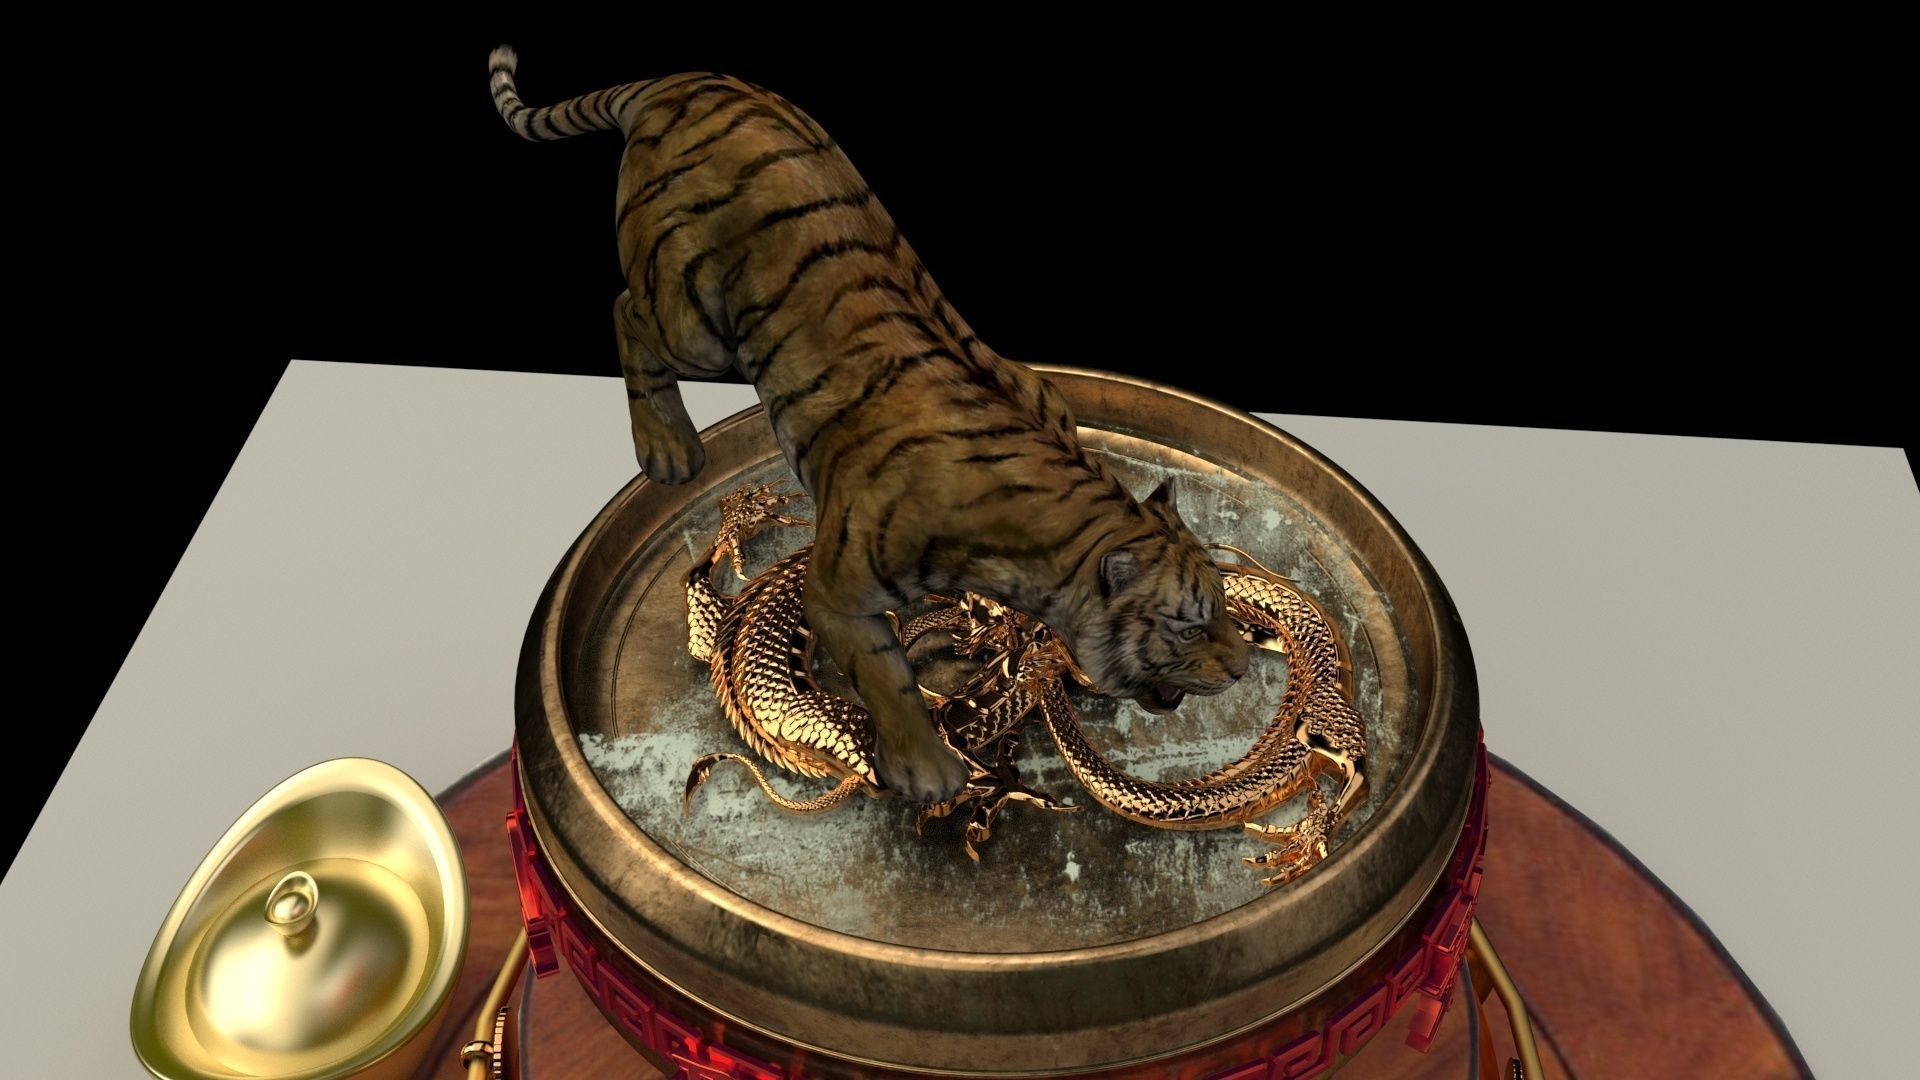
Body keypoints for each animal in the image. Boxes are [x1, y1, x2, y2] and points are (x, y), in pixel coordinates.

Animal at [490, 47, 1250, 801]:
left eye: (1220, 604)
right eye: (1189, 629)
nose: (1245, 667)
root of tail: (683, 80)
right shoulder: (837, 589)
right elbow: (888, 676)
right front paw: (928, 771)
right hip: (692, 324)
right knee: (625, 309)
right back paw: (669, 450)